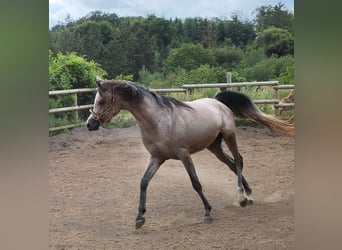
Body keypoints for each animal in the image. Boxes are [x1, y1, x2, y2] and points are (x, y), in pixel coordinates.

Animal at [86, 77, 294, 229]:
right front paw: (139, 218)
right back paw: (248, 194)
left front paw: (207, 212)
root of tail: (217, 102)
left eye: (101, 101)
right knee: (231, 164)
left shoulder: (184, 155)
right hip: (214, 146)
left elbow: (196, 183)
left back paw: (243, 197)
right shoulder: (157, 158)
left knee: (238, 161)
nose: (90, 124)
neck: (159, 121)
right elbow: (143, 182)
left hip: (229, 136)